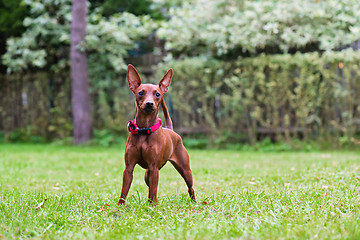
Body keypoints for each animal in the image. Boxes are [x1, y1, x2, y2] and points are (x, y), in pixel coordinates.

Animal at [118, 64, 195, 204]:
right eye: (141, 93)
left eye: (157, 94)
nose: (149, 103)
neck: (144, 128)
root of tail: (171, 130)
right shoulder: (129, 168)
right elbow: (124, 192)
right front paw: (119, 207)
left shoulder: (154, 168)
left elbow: (154, 191)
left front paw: (153, 207)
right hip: (147, 174)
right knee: (150, 188)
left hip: (185, 171)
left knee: (190, 188)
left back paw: (194, 202)